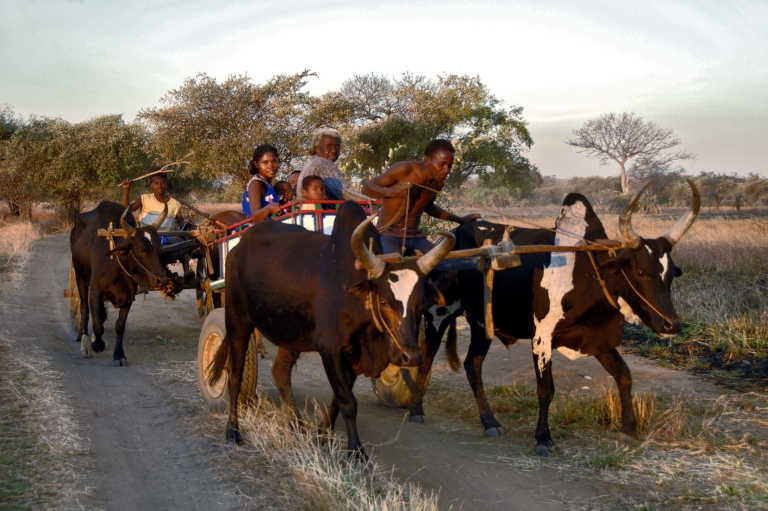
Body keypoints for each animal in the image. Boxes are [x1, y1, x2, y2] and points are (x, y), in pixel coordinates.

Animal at [70, 201, 169, 366]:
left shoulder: (128, 297)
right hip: (80, 278)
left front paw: (119, 355)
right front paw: (97, 345)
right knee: (85, 310)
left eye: (159, 248)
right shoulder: (95, 292)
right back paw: (85, 344)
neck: (115, 265)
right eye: (141, 250)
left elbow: (119, 325)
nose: (162, 280)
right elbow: (97, 324)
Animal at [206, 201, 455, 458]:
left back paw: (297, 427)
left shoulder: (353, 356)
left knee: (281, 373)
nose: (411, 357)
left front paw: (321, 435)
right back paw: (233, 431)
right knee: (234, 376)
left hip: (290, 333)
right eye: (385, 302)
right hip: (237, 321)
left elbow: (338, 399)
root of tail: (237, 248)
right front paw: (356, 451)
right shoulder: (330, 348)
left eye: (422, 303)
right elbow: (348, 401)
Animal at [406, 180, 700, 456]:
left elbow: (623, 375)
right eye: (639, 271)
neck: (588, 271)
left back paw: (489, 421)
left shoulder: (596, 339)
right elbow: (546, 389)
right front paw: (543, 439)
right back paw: (415, 409)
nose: (671, 324)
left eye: (671, 274)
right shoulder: (542, 338)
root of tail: (449, 239)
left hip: (481, 323)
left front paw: (629, 430)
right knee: (426, 358)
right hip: (437, 315)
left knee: (472, 365)